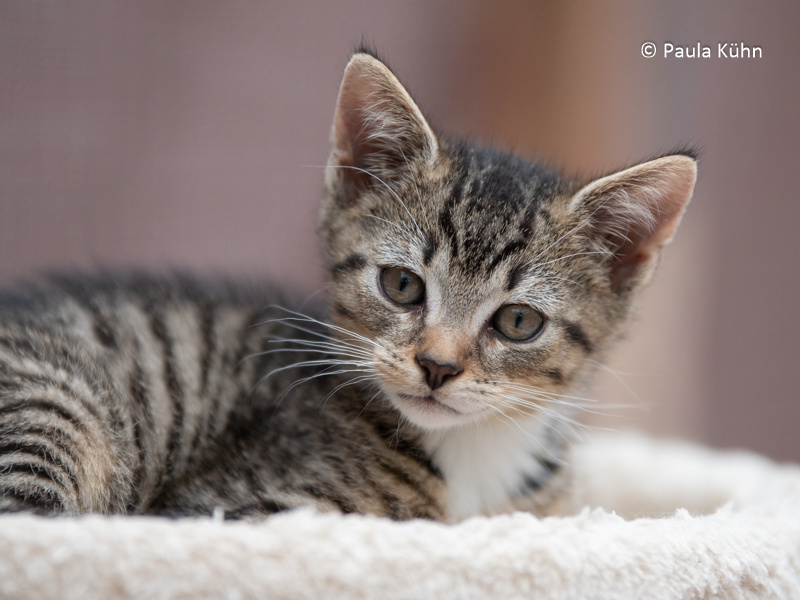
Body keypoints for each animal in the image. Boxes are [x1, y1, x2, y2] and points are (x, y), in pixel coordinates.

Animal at [0, 50, 696, 523]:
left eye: (518, 322)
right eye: (402, 285)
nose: (437, 367)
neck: (474, 453)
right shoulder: (226, 511)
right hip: (57, 404)